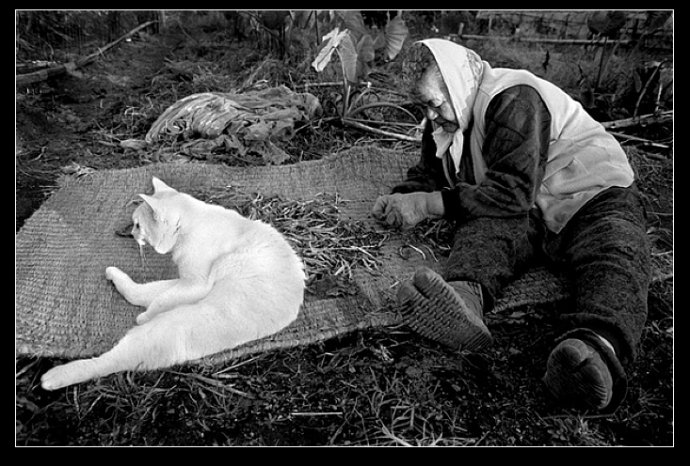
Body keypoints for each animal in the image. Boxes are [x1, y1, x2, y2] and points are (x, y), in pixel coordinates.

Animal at [40, 176, 304, 390]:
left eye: (138, 225)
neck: (189, 226)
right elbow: (156, 297)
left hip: (170, 327)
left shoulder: (194, 283)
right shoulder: (184, 282)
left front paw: (145, 315)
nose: (131, 234)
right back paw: (113, 276)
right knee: (141, 294)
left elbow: (158, 303)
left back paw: (53, 378)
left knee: (111, 358)